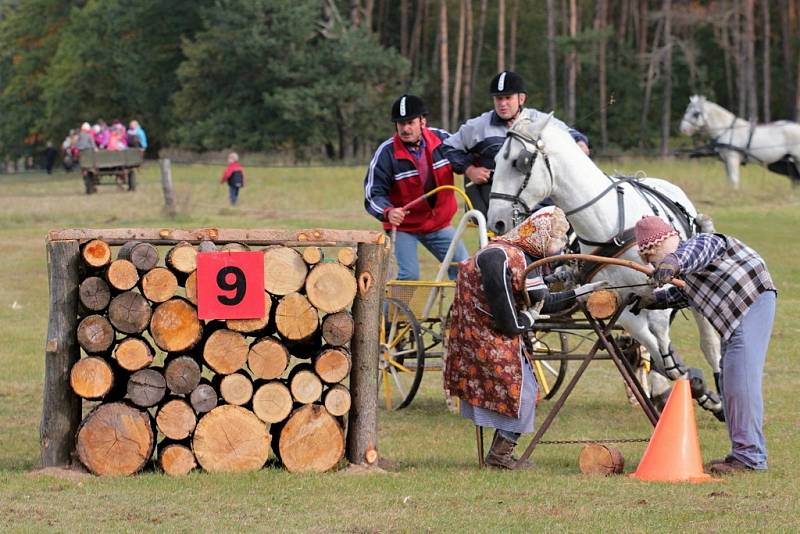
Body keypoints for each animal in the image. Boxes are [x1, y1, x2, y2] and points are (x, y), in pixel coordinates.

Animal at [488, 111, 724, 422]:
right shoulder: (620, 304)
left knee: (709, 342)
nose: (497, 221)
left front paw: (700, 391)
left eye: (519, 162)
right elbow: (658, 352)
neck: (609, 225)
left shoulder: (659, 290)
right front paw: (682, 383)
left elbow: (662, 338)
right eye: (494, 161)